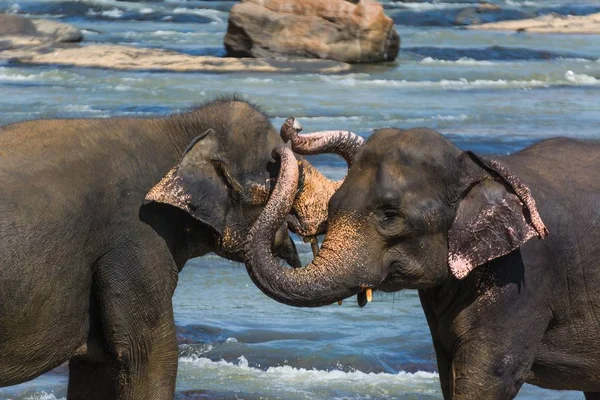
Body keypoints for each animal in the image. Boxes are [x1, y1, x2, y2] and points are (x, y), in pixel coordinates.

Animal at [0, 97, 338, 400]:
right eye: (286, 181)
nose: (294, 124)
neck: (177, 127)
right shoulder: (137, 238)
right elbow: (151, 358)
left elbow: (96, 371)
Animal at [244, 122, 600, 400]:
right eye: (331, 206)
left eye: (390, 215)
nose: (279, 148)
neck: (477, 167)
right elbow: (448, 374)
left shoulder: (525, 276)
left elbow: (489, 378)